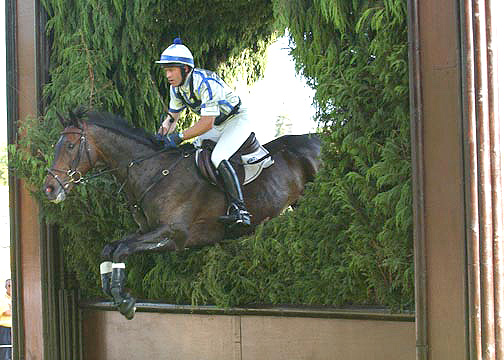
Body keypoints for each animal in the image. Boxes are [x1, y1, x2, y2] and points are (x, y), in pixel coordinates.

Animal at [42, 109, 318, 318]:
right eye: (56, 146)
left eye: (70, 146)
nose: (49, 188)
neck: (154, 170)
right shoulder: (146, 231)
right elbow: (109, 248)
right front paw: (112, 288)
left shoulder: (174, 236)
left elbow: (121, 249)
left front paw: (124, 301)